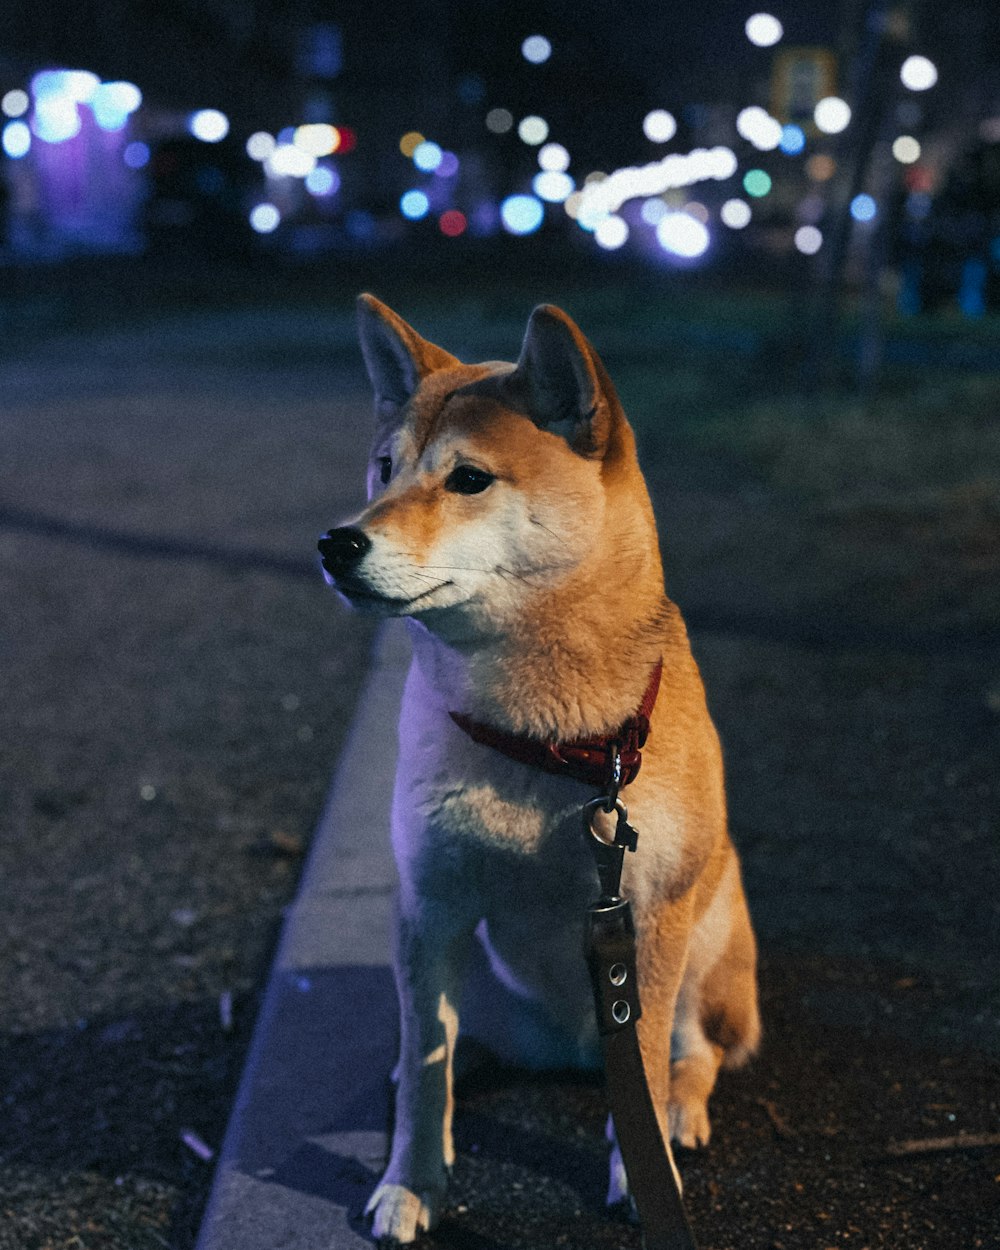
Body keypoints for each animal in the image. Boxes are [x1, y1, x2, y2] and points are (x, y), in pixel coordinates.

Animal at [318, 297, 760, 1245]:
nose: (337, 542)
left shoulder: (648, 918)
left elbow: (655, 1055)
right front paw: (410, 1185)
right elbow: (425, 1065)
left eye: (468, 480)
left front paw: (643, 1174)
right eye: (384, 469)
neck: (547, 739)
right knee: (445, 1046)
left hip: (709, 933)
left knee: (694, 1051)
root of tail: (574, 1047)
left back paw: (674, 1115)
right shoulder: (431, 903)